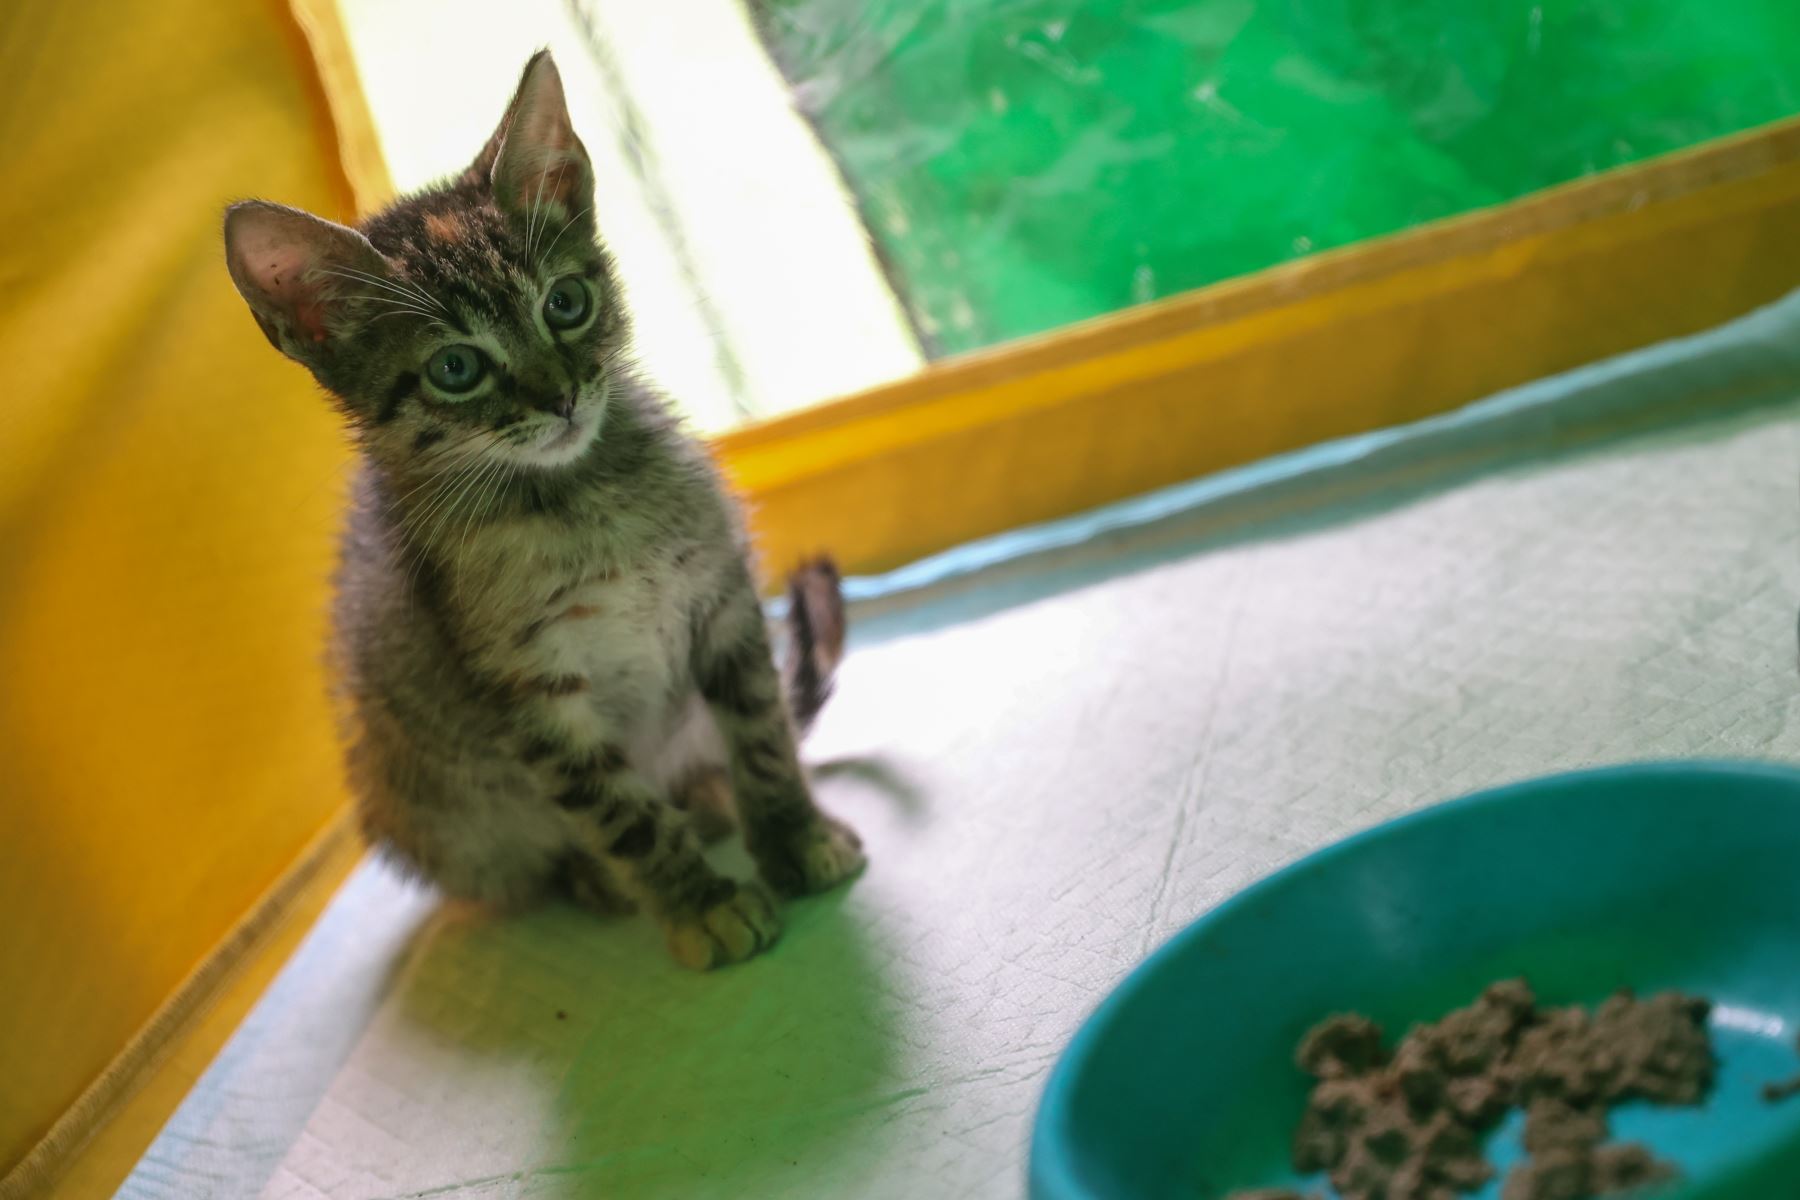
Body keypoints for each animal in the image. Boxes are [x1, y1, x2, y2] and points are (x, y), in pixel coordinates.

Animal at [221, 53, 867, 964]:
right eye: (456, 369)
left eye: (565, 303)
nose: (561, 396)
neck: (578, 502)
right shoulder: (530, 700)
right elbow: (623, 815)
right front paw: (700, 903)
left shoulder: (725, 605)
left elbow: (763, 734)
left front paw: (790, 834)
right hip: (433, 812)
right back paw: (599, 875)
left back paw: (708, 797)